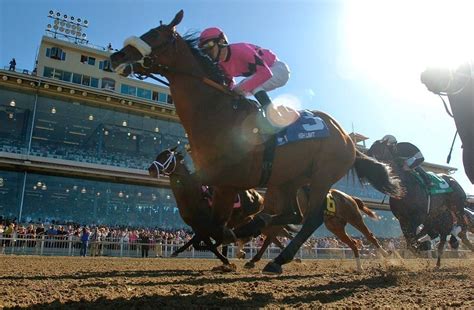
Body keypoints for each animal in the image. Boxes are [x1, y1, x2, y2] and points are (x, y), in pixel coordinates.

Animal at [244, 186, 388, 272]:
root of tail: (350, 197)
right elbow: (270, 238)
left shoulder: (281, 218)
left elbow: (269, 239)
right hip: (335, 226)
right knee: (353, 243)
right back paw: (359, 267)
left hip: (354, 217)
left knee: (370, 236)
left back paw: (385, 255)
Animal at [366, 139, 470, 268]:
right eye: (370, 149)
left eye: (378, 150)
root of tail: (453, 180)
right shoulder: (402, 219)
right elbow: (410, 239)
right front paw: (418, 247)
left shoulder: (417, 217)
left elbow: (411, 240)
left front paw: (421, 247)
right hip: (435, 216)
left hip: (457, 205)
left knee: (461, 223)